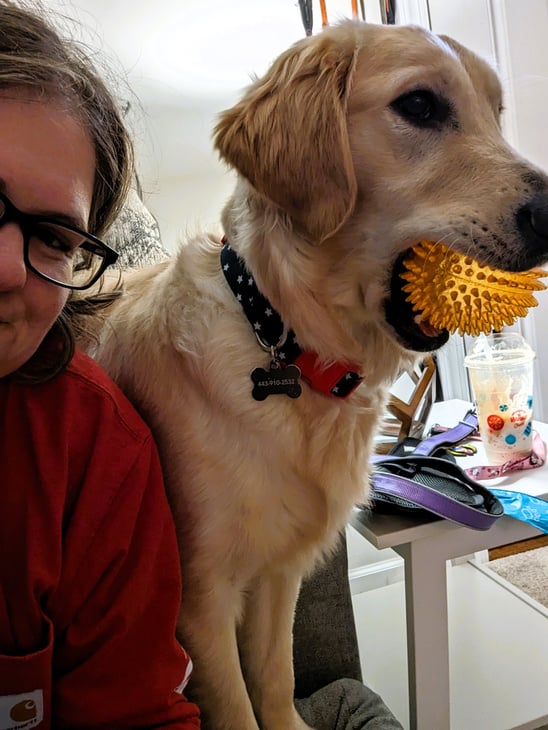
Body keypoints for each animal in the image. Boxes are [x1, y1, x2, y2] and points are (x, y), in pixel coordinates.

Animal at [83, 19, 548, 724]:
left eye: (496, 112)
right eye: (419, 106)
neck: (287, 343)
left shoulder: (279, 573)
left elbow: (275, 678)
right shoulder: (203, 600)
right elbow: (238, 706)